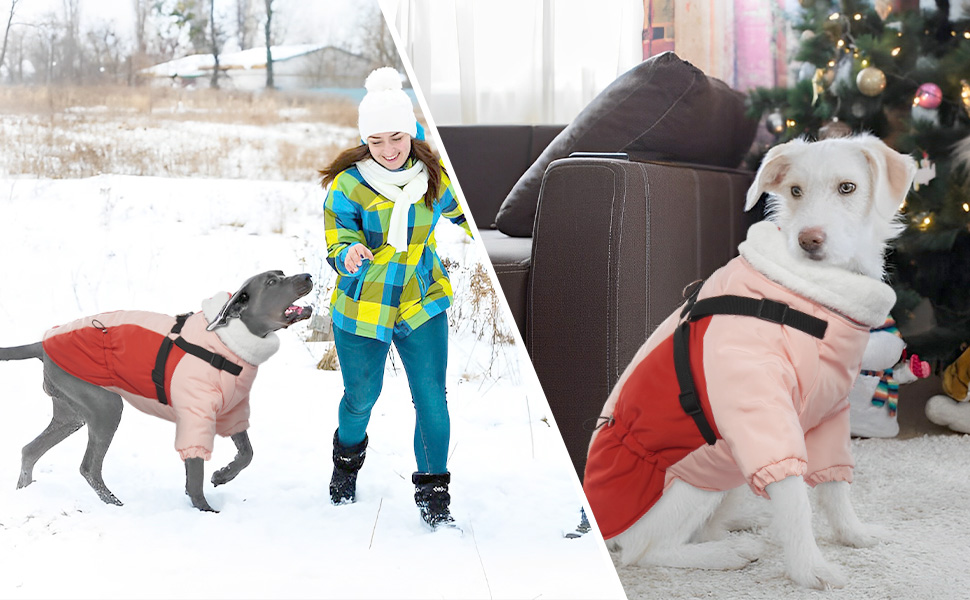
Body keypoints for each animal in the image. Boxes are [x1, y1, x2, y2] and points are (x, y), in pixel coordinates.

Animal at [0, 270, 312, 510]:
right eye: (271, 282)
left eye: (282, 273)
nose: (307, 276)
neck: (225, 344)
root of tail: (43, 343)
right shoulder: (195, 418)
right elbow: (196, 474)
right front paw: (205, 511)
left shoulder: (231, 410)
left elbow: (247, 454)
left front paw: (222, 476)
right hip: (105, 407)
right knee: (88, 467)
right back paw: (114, 504)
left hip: (71, 413)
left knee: (30, 450)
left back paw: (25, 490)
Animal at [584, 134, 916, 588]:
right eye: (795, 191)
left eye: (847, 187)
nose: (809, 240)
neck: (807, 296)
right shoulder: (762, 415)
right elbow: (794, 498)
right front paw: (810, 570)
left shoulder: (831, 412)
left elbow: (834, 485)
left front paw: (855, 534)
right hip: (694, 478)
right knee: (646, 551)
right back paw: (725, 553)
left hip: (728, 471)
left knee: (705, 526)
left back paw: (737, 527)